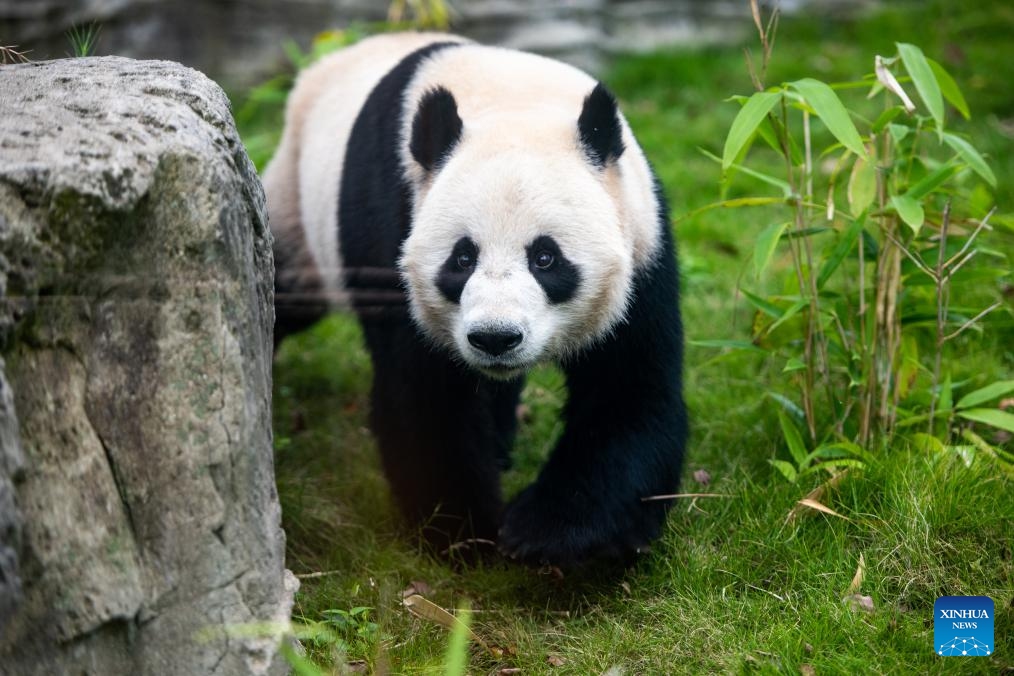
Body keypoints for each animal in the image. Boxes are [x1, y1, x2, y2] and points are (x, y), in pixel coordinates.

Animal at [261, 31, 689, 567]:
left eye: (545, 258)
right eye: (462, 258)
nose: (495, 338)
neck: (513, 103)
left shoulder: (641, 247)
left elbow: (628, 389)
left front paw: (558, 535)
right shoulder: (395, 224)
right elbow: (425, 393)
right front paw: (466, 531)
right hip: (296, 202)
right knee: (285, 292)